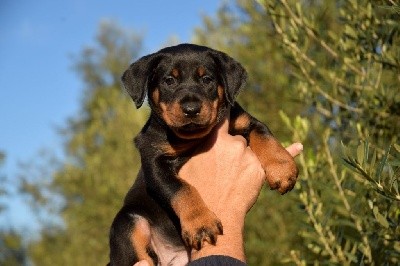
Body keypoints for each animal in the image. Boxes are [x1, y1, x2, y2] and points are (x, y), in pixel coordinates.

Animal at [108, 42, 298, 264]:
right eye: (169, 81)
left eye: (207, 79)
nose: (191, 109)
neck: (193, 137)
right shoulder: (154, 161)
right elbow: (180, 189)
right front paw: (200, 223)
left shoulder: (244, 121)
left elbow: (264, 134)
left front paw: (282, 169)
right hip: (129, 224)